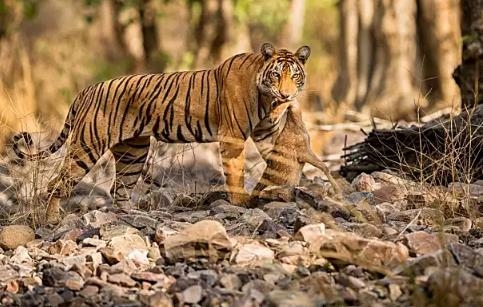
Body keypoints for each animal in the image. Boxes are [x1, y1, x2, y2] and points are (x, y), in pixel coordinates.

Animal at [12, 42, 314, 224]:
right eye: (276, 75)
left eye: (294, 76)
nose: (286, 94)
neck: (267, 101)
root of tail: (86, 89)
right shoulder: (233, 137)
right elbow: (236, 172)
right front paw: (241, 202)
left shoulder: (266, 134)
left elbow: (281, 160)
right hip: (87, 146)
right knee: (57, 183)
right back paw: (52, 219)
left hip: (133, 152)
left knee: (118, 189)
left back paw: (132, 216)